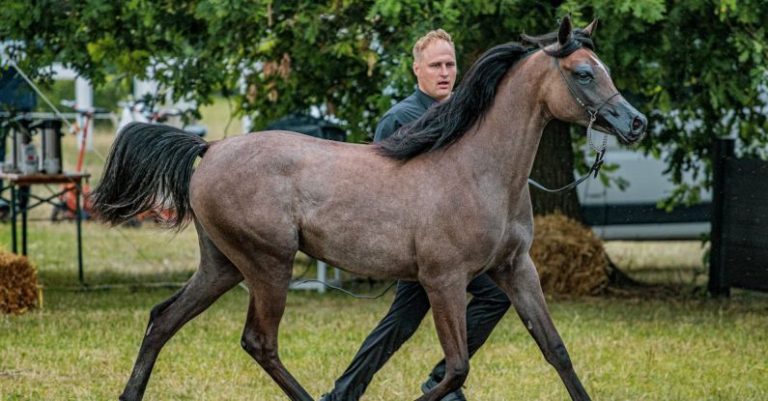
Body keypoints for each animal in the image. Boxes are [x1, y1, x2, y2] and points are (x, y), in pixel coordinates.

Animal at [92, 16, 646, 401]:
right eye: (582, 73)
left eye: (604, 69)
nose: (636, 123)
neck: (477, 170)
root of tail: (209, 149)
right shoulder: (443, 280)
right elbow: (456, 366)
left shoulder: (516, 269)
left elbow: (556, 350)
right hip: (269, 264)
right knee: (259, 341)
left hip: (222, 265)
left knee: (162, 319)